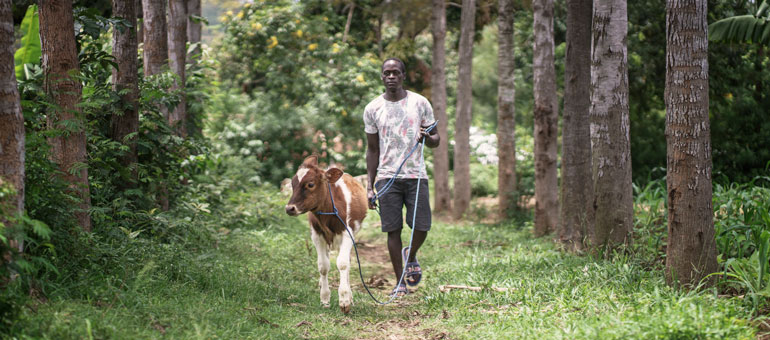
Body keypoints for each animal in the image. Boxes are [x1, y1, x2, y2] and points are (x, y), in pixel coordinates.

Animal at [284, 156, 368, 314]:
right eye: (292, 183)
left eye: (310, 184)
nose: (289, 208)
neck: (327, 212)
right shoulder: (317, 235)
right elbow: (323, 266)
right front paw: (324, 298)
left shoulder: (347, 234)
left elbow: (343, 264)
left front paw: (345, 300)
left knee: (347, 262)